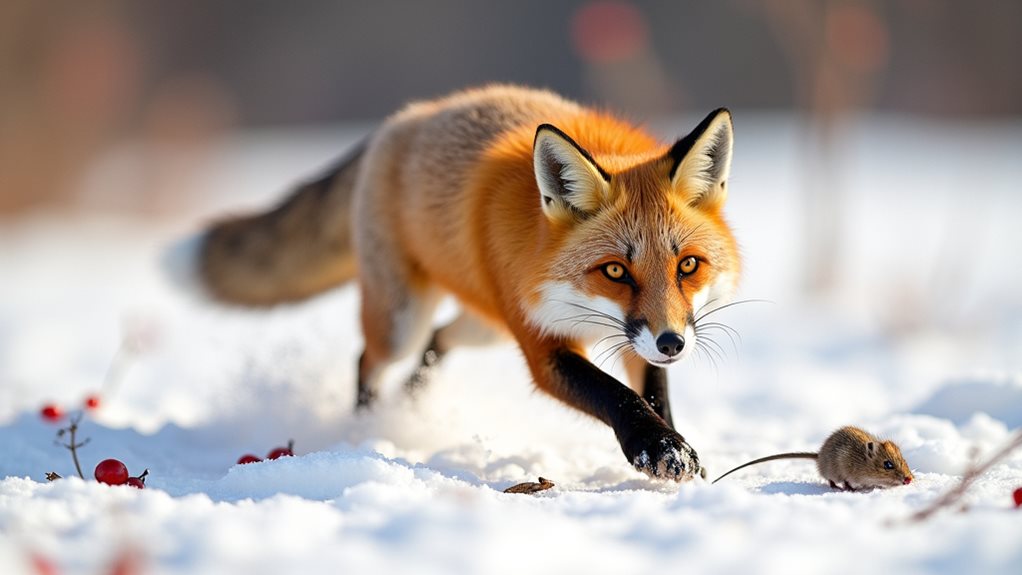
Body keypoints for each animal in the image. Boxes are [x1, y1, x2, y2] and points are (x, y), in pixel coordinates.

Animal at [190, 85, 740, 481]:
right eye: (615, 271)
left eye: (687, 266)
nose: (672, 344)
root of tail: (408, 116)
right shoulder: (543, 346)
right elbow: (617, 395)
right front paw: (658, 447)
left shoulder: (632, 337)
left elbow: (654, 395)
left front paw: (672, 446)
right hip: (403, 320)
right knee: (368, 359)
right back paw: (368, 427)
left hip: (486, 326)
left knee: (436, 343)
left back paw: (411, 407)